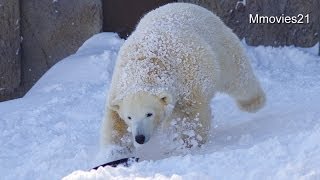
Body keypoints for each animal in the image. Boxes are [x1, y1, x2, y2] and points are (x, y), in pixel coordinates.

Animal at [101, 2, 266, 149]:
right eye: (129, 116)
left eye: (149, 114)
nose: (140, 138)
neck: (148, 64)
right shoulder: (118, 87)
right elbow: (115, 124)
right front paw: (115, 153)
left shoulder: (189, 78)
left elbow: (192, 115)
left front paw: (188, 143)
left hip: (221, 46)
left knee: (238, 78)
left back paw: (254, 102)